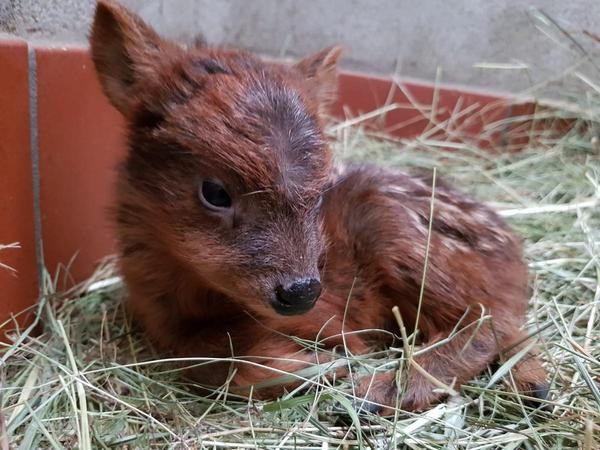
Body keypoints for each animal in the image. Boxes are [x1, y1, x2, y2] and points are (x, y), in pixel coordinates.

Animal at [90, 0, 548, 414]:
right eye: (215, 192)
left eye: (321, 185)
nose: (302, 291)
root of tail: (515, 249)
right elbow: (206, 359)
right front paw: (304, 365)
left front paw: (324, 364)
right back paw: (532, 385)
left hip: (396, 224)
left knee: (487, 318)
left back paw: (378, 392)